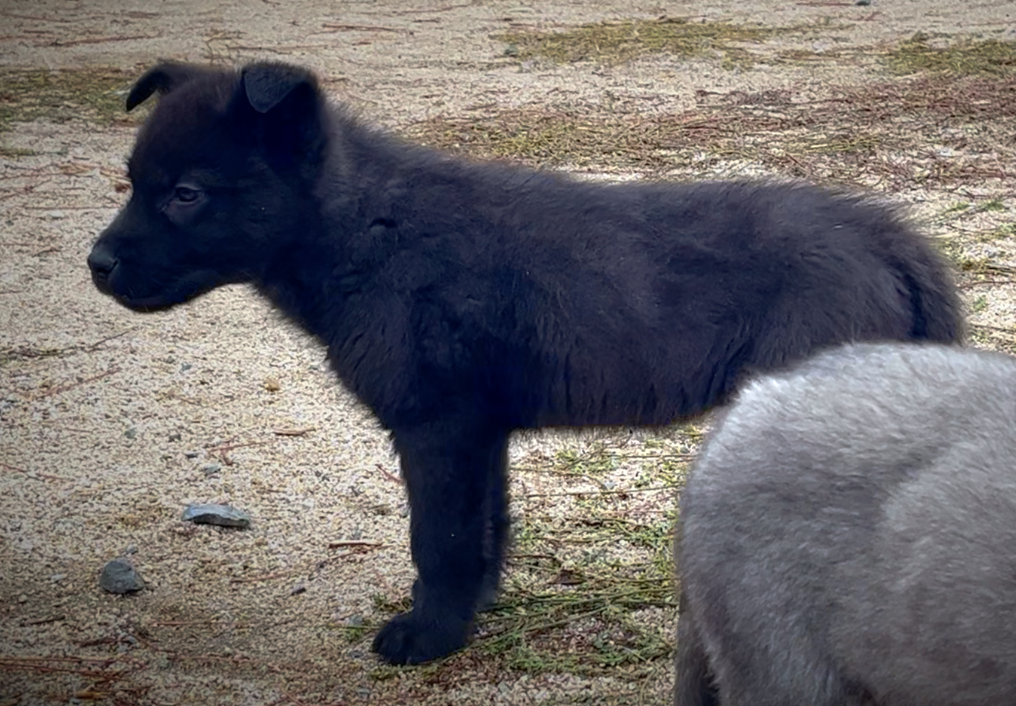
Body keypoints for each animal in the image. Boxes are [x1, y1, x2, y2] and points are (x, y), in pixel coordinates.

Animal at [89, 60, 959, 666]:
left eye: (187, 194)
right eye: (130, 182)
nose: (95, 264)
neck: (365, 230)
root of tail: (886, 237)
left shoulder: (436, 426)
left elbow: (437, 537)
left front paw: (427, 635)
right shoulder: (478, 431)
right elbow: (481, 530)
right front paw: (468, 613)